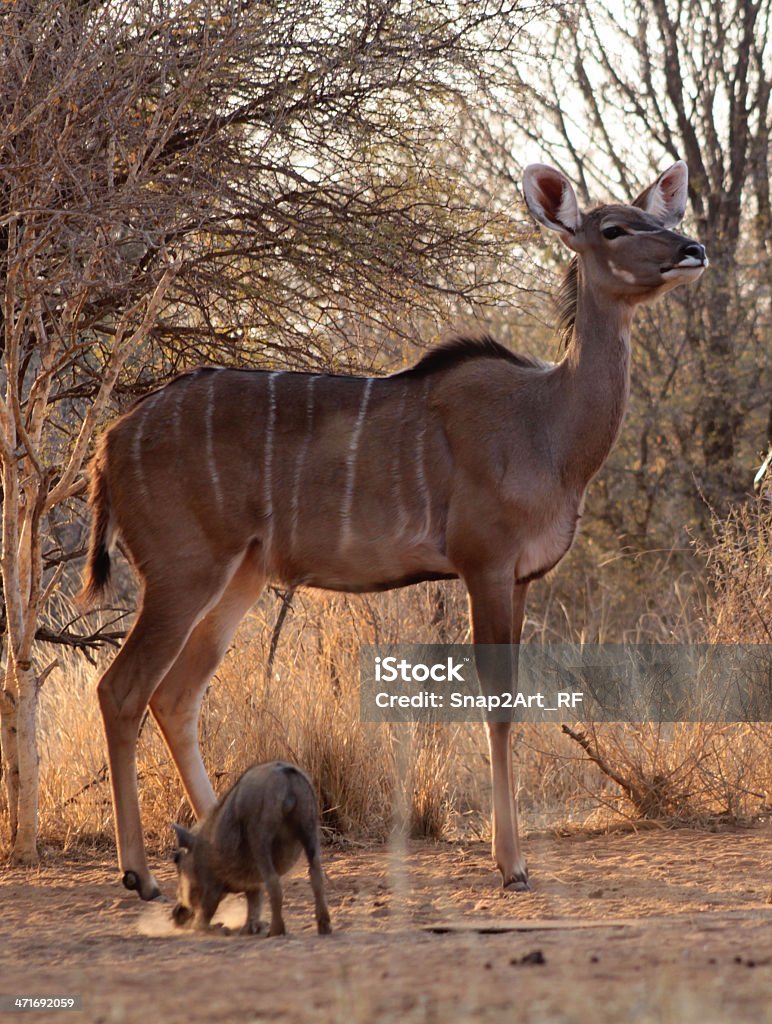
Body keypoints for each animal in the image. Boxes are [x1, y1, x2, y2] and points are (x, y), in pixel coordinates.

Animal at [82, 159, 704, 897]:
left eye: (661, 218)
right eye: (613, 229)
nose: (692, 250)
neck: (547, 426)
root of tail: (110, 443)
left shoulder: (522, 578)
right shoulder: (485, 564)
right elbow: (497, 702)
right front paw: (511, 864)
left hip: (239, 578)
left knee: (176, 697)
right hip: (182, 573)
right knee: (123, 689)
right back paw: (139, 874)